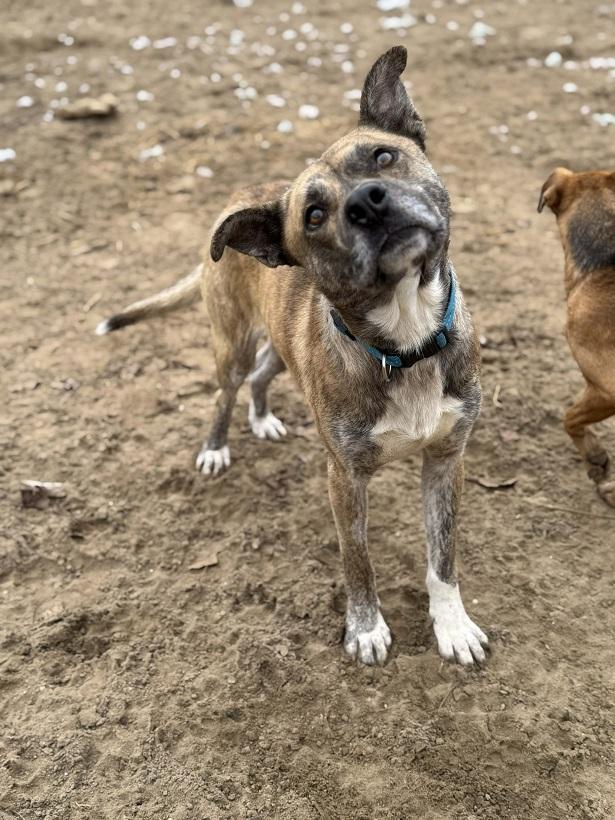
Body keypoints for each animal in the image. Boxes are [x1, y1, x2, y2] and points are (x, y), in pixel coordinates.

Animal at [97, 47, 489, 667]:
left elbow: (443, 557)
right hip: (231, 342)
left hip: (283, 349)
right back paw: (216, 447)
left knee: (262, 375)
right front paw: (366, 628)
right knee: (226, 390)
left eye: (384, 156)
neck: (404, 343)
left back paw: (262, 418)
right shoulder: (344, 478)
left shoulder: (447, 460)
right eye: (313, 215)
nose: (367, 202)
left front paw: (452, 625)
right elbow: (358, 561)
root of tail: (242, 202)